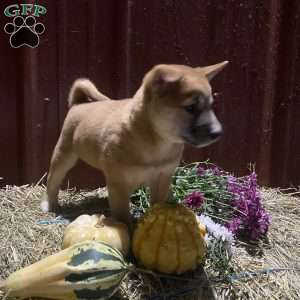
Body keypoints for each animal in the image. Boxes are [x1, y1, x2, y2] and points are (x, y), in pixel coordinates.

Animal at [41, 61, 227, 225]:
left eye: (211, 106)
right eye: (190, 108)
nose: (218, 133)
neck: (156, 141)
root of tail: (79, 103)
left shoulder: (162, 179)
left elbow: (157, 206)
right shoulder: (119, 184)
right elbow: (123, 218)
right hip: (64, 155)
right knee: (53, 180)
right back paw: (52, 205)